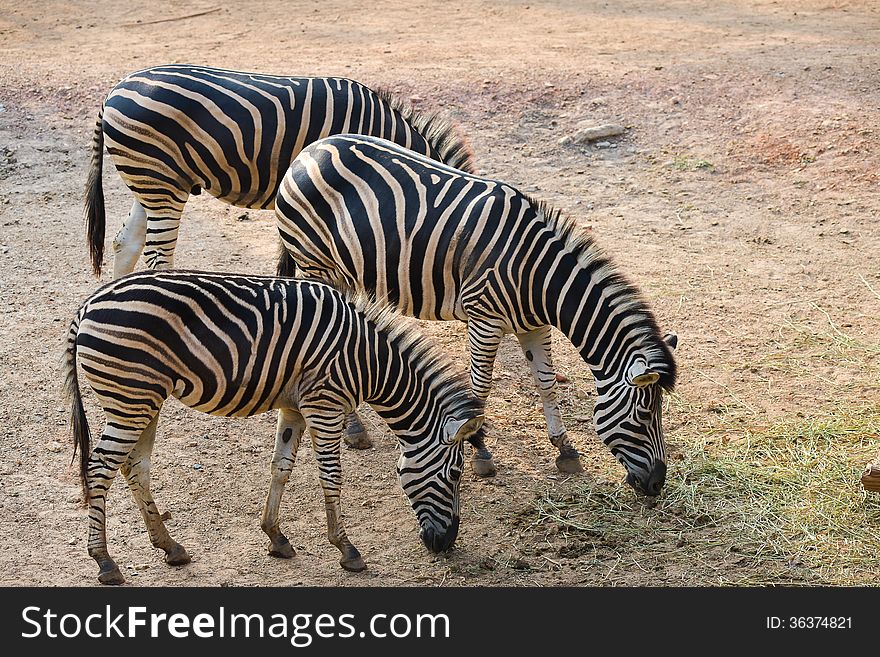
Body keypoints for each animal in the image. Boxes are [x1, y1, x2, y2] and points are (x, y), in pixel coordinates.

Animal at [65, 270, 484, 584]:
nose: (446, 543)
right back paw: (104, 561)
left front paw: (276, 537)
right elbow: (331, 476)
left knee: (133, 467)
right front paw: (346, 549)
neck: (369, 361)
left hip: (142, 399)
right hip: (131, 397)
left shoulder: (294, 406)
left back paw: (170, 547)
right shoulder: (324, 403)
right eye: (455, 475)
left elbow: (281, 467)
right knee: (99, 468)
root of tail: (88, 304)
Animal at [276, 135, 680, 492]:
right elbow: (480, 388)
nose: (656, 485)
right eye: (645, 415)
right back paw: (354, 429)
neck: (538, 274)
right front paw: (481, 452)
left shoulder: (534, 326)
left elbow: (546, 383)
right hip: (316, 263)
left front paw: (565, 449)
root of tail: (310, 150)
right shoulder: (484, 319)